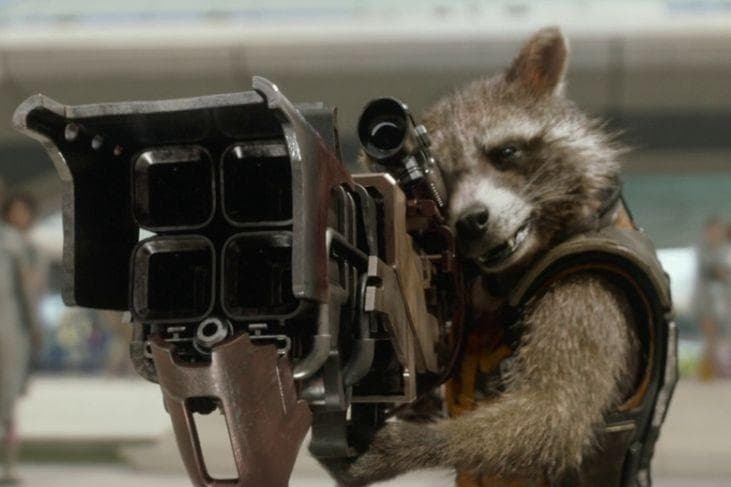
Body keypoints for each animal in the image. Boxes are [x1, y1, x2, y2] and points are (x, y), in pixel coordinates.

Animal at [325, 27, 651, 486]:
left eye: (506, 153)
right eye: (441, 182)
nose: (470, 222)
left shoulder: (589, 288)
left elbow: (554, 416)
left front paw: (406, 444)